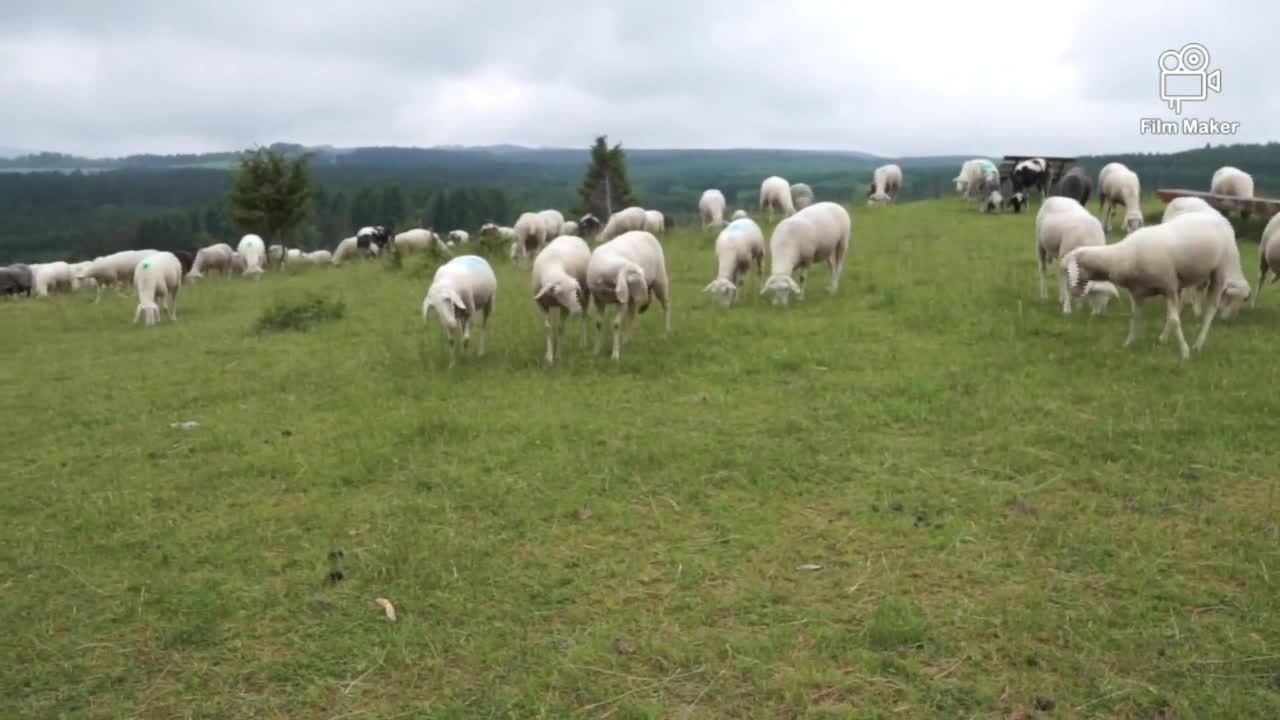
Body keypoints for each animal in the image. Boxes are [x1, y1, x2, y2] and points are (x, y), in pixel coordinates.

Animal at [586, 229, 675, 361]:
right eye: (635, 280)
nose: (646, 299)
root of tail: (644, 232)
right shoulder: (599, 300)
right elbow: (598, 324)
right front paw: (596, 350)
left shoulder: (621, 301)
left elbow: (616, 324)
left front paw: (615, 355)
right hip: (633, 296)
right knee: (632, 315)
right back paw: (627, 340)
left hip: (660, 280)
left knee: (666, 305)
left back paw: (667, 332)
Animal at [1059, 208, 1249, 356]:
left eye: (1071, 270)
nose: (1073, 293)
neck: (1120, 258)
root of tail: (1222, 219)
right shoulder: (1138, 293)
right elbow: (1136, 317)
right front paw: (1129, 343)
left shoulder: (1169, 287)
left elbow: (1174, 319)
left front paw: (1184, 351)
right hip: (1180, 284)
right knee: (1177, 311)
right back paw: (1164, 338)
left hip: (1220, 271)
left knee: (1210, 310)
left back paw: (1197, 344)